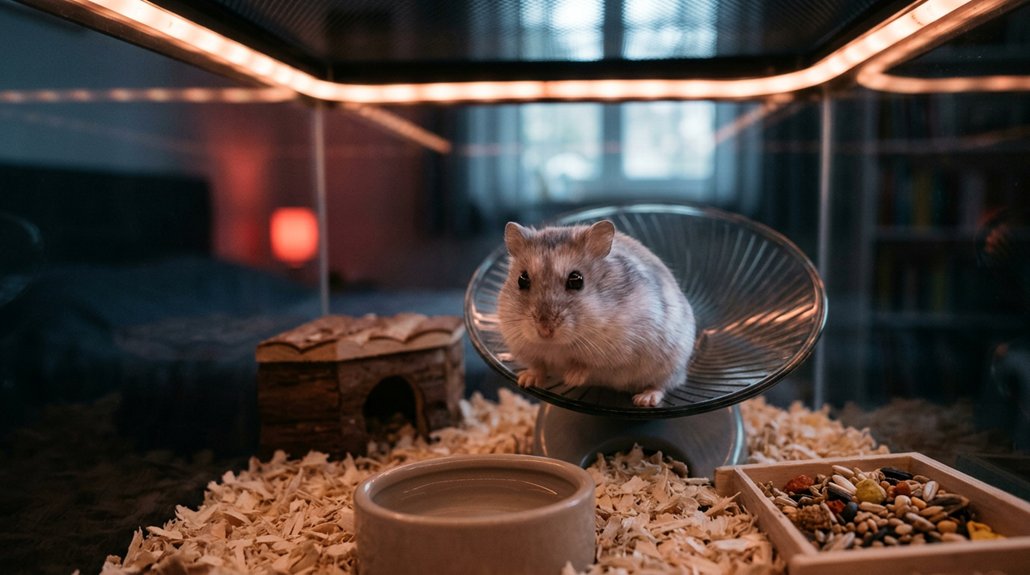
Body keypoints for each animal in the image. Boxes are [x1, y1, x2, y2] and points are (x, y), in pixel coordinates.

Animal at [497, 219, 696, 407]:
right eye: (522, 279)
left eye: (576, 280)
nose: (544, 331)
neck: (556, 346)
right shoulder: (526, 348)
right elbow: (537, 366)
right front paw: (524, 380)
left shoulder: (618, 352)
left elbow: (589, 367)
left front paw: (571, 378)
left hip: (671, 363)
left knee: (663, 385)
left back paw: (644, 400)